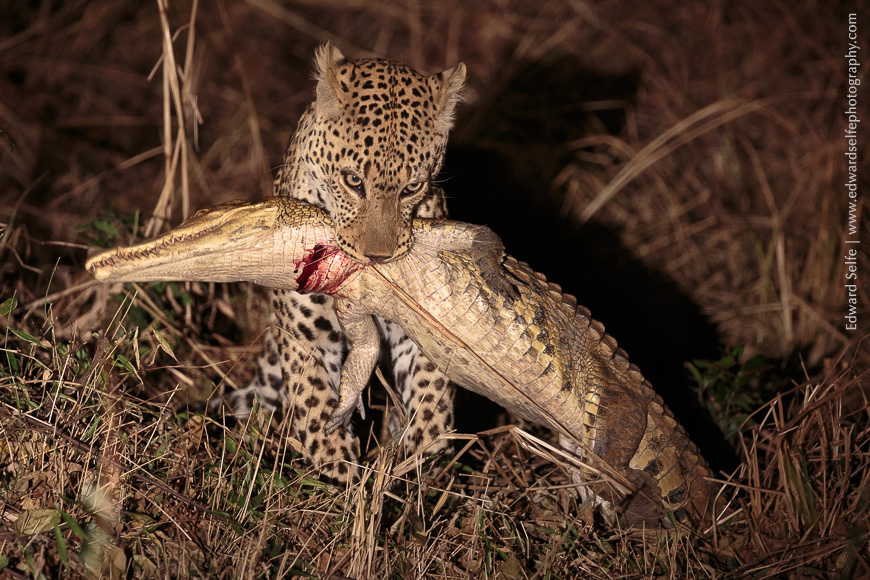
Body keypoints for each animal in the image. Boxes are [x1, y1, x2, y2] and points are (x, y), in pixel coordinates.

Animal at [223, 42, 466, 482]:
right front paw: (341, 477)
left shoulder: (419, 332)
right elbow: (315, 406)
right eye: (354, 181)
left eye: (412, 187)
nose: (378, 257)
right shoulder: (309, 339)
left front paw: (416, 460)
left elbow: (431, 399)